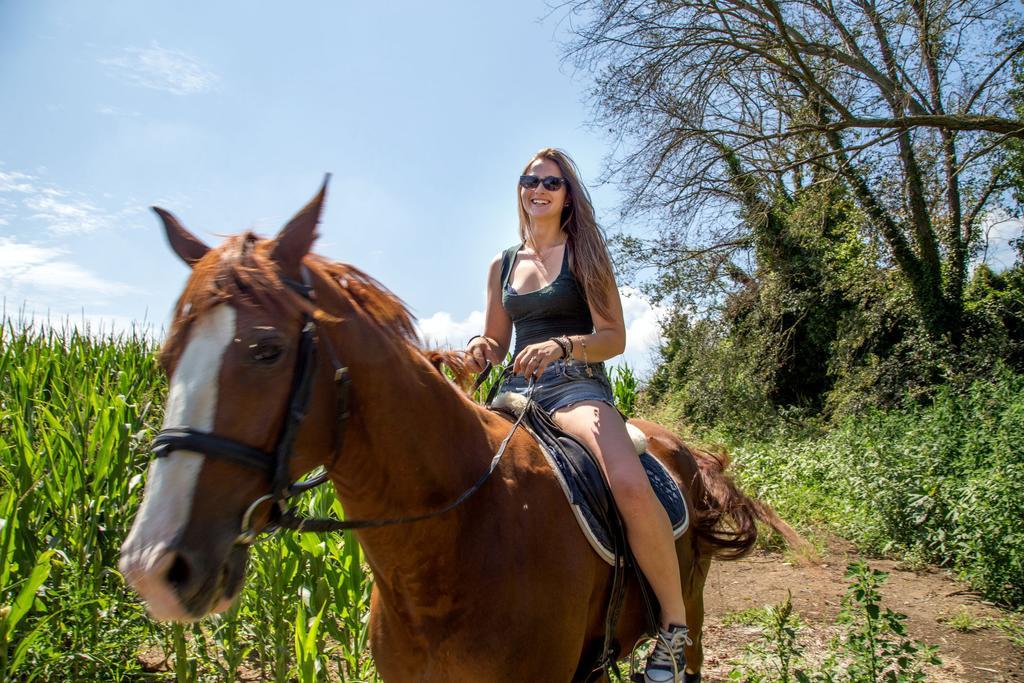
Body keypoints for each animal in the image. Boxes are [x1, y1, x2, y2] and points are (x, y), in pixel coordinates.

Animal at [119, 179, 802, 679]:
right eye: (165, 358)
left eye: (266, 350)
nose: (154, 566)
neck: (452, 537)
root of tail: (680, 449)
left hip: (692, 619)